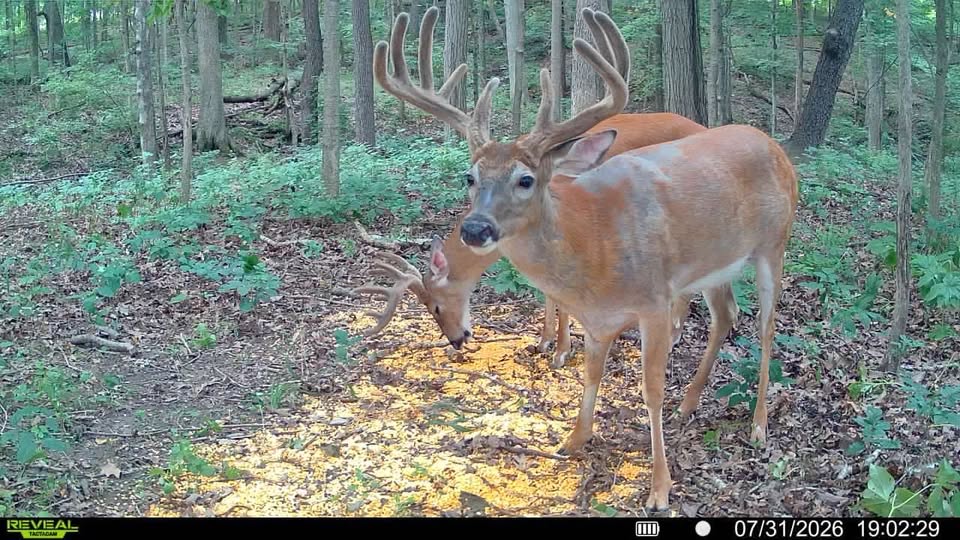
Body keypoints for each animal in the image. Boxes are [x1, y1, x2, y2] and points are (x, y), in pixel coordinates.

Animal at [355, 6, 708, 370]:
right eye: (469, 177)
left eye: (436, 306)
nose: (456, 339)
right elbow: (548, 291)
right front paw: (545, 340)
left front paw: (563, 350)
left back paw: (674, 334)